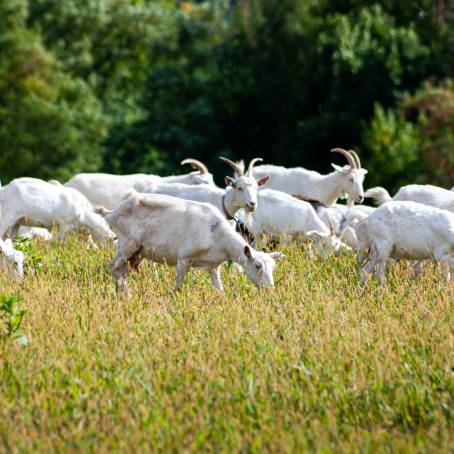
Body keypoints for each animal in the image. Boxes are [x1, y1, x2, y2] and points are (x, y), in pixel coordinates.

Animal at [103, 192, 284, 292]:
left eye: (273, 267)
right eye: (258, 266)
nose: (269, 289)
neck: (219, 237)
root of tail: (111, 213)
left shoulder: (213, 266)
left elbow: (219, 289)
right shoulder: (184, 258)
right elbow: (177, 286)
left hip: (137, 252)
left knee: (121, 272)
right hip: (127, 243)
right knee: (113, 268)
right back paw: (126, 294)